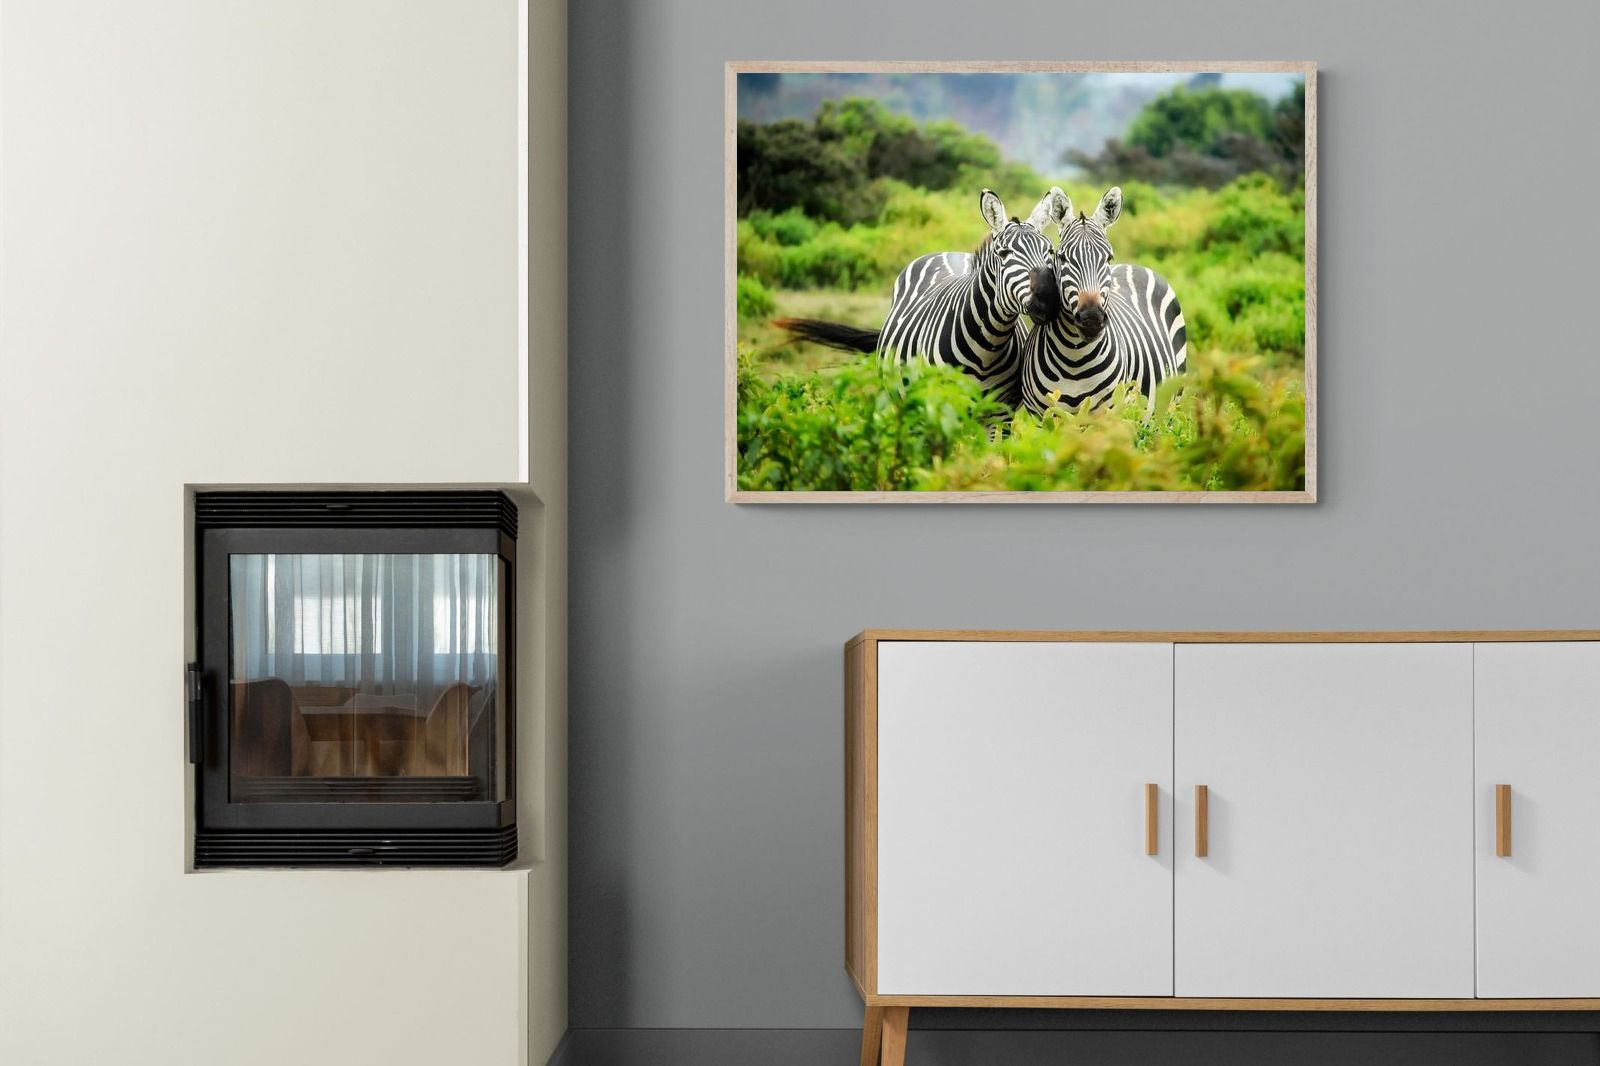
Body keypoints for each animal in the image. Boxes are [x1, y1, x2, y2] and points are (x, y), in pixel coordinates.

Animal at [776, 188, 1068, 406]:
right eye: (1004, 254)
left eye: (1050, 251)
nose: (1049, 299)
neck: (988, 346)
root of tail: (948, 252)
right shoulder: (942, 405)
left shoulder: (1000, 412)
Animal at [1020, 186, 1188, 417]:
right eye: (1062, 257)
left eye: (1108, 258)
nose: (1091, 319)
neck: (1074, 359)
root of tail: (1134, 266)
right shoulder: (1040, 416)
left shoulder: (1107, 415)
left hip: (1171, 405)